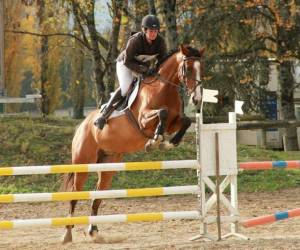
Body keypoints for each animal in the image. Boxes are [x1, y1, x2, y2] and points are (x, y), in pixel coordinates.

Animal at [62, 44, 205, 243]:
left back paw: (93, 231)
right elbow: (162, 113)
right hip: (83, 163)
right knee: (75, 194)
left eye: (202, 68)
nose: (197, 99)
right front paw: (155, 141)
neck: (164, 88)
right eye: (189, 68)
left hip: (108, 164)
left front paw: (168, 143)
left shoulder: (174, 121)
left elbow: (186, 121)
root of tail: (82, 125)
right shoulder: (143, 119)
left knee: (97, 195)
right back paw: (67, 234)